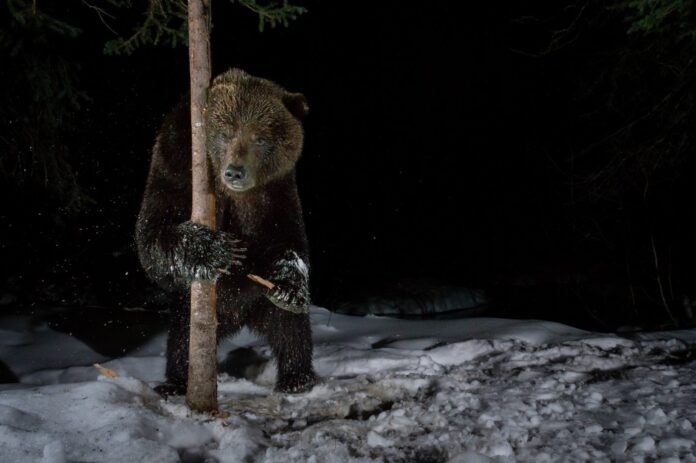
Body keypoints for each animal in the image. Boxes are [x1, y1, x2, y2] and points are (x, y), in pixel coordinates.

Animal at [135, 68, 316, 395]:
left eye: (260, 137)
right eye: (226, 132)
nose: (235, 171)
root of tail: (241, 318)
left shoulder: (276, 190)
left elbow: (288, 239)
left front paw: (289, 284)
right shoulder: (174, 161)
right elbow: (152, 235)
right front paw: (219, 249)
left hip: (262, 300)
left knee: (292, 330)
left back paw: (297, 378)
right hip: (197, 306)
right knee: (183, 340)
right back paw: (176, 382)